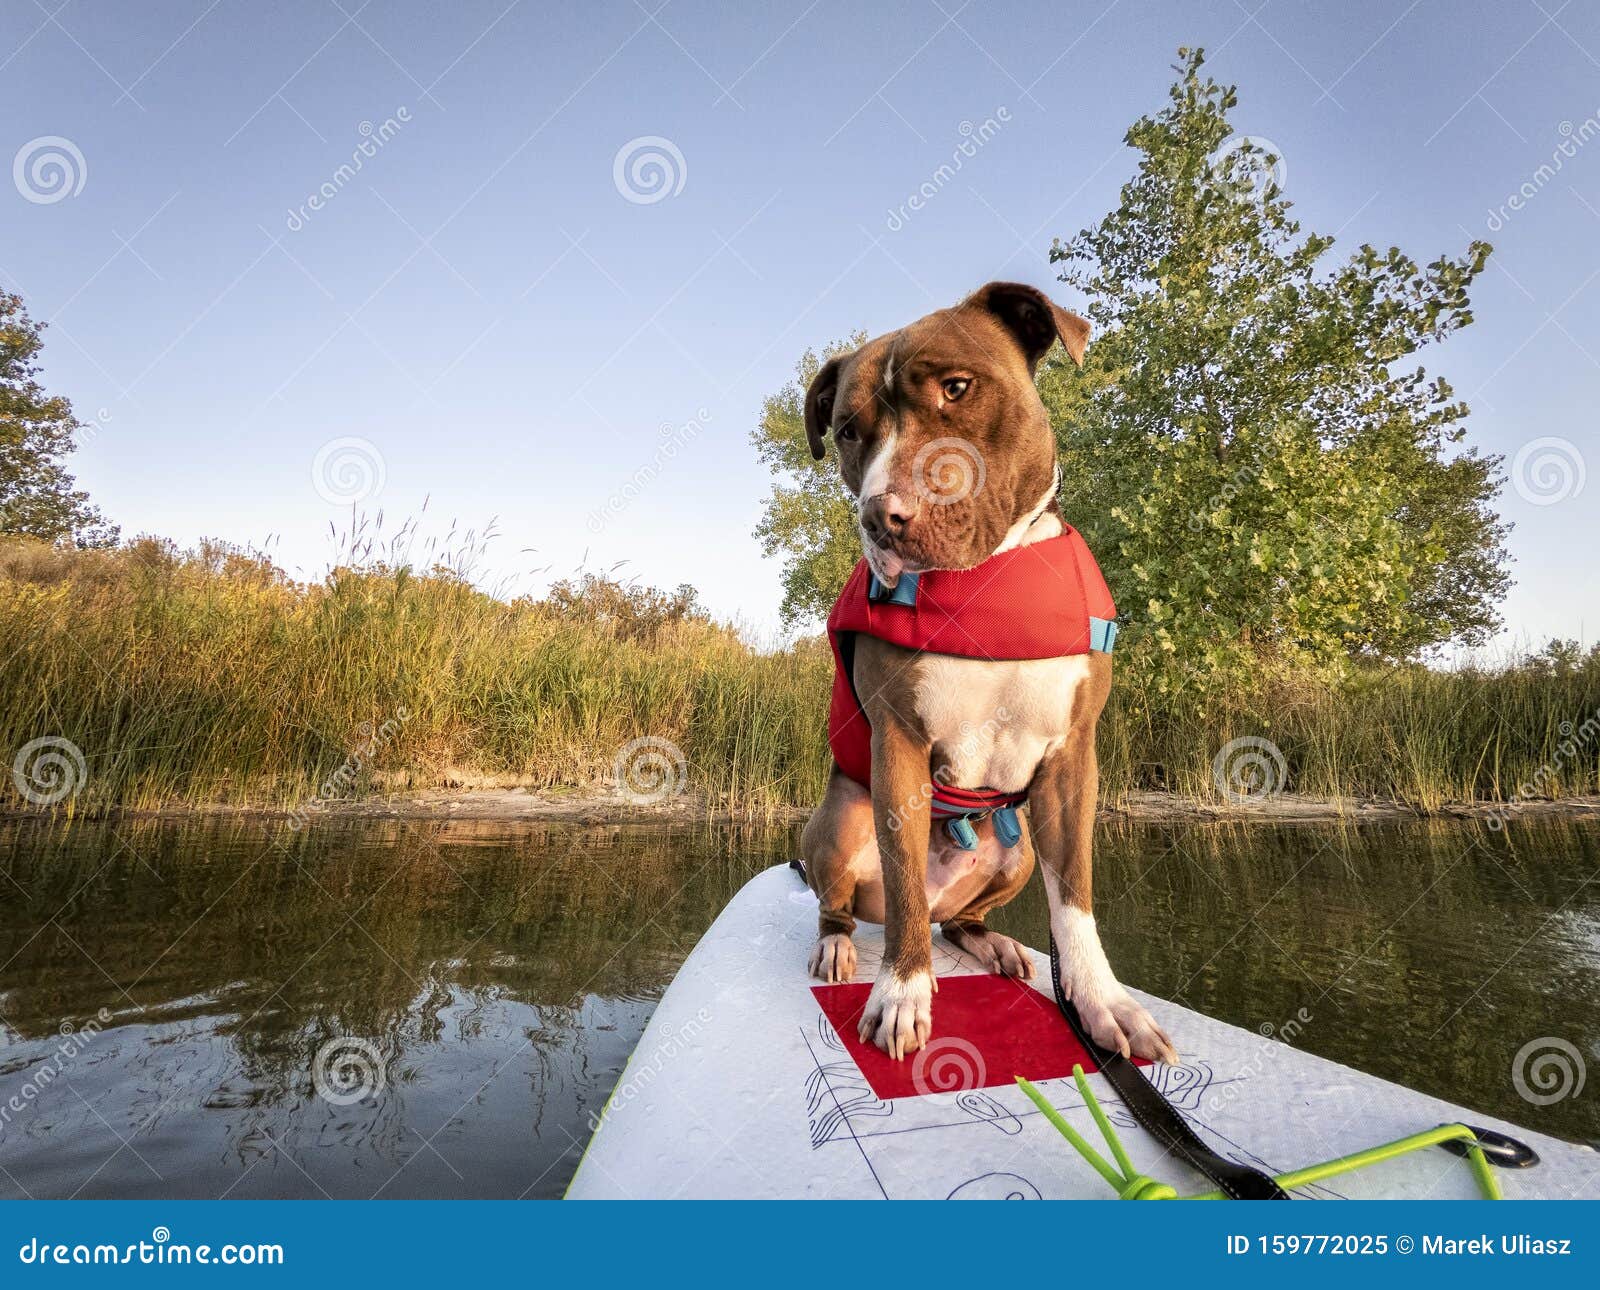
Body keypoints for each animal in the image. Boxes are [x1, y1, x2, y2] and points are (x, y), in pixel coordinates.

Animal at [796, 280, 1177, 1069]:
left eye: (958, 388)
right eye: (847, 431)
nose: (883, 515)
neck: (986, 583)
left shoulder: (1073, 757)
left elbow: (1076, 900)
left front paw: (1103, 1002)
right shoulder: (898, 745)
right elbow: (906, 890)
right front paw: (902, 992)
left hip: (1018, 851)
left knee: (955, 920)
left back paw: (990, 941)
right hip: (840, 822)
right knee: (855, 906)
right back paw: (840, 950)